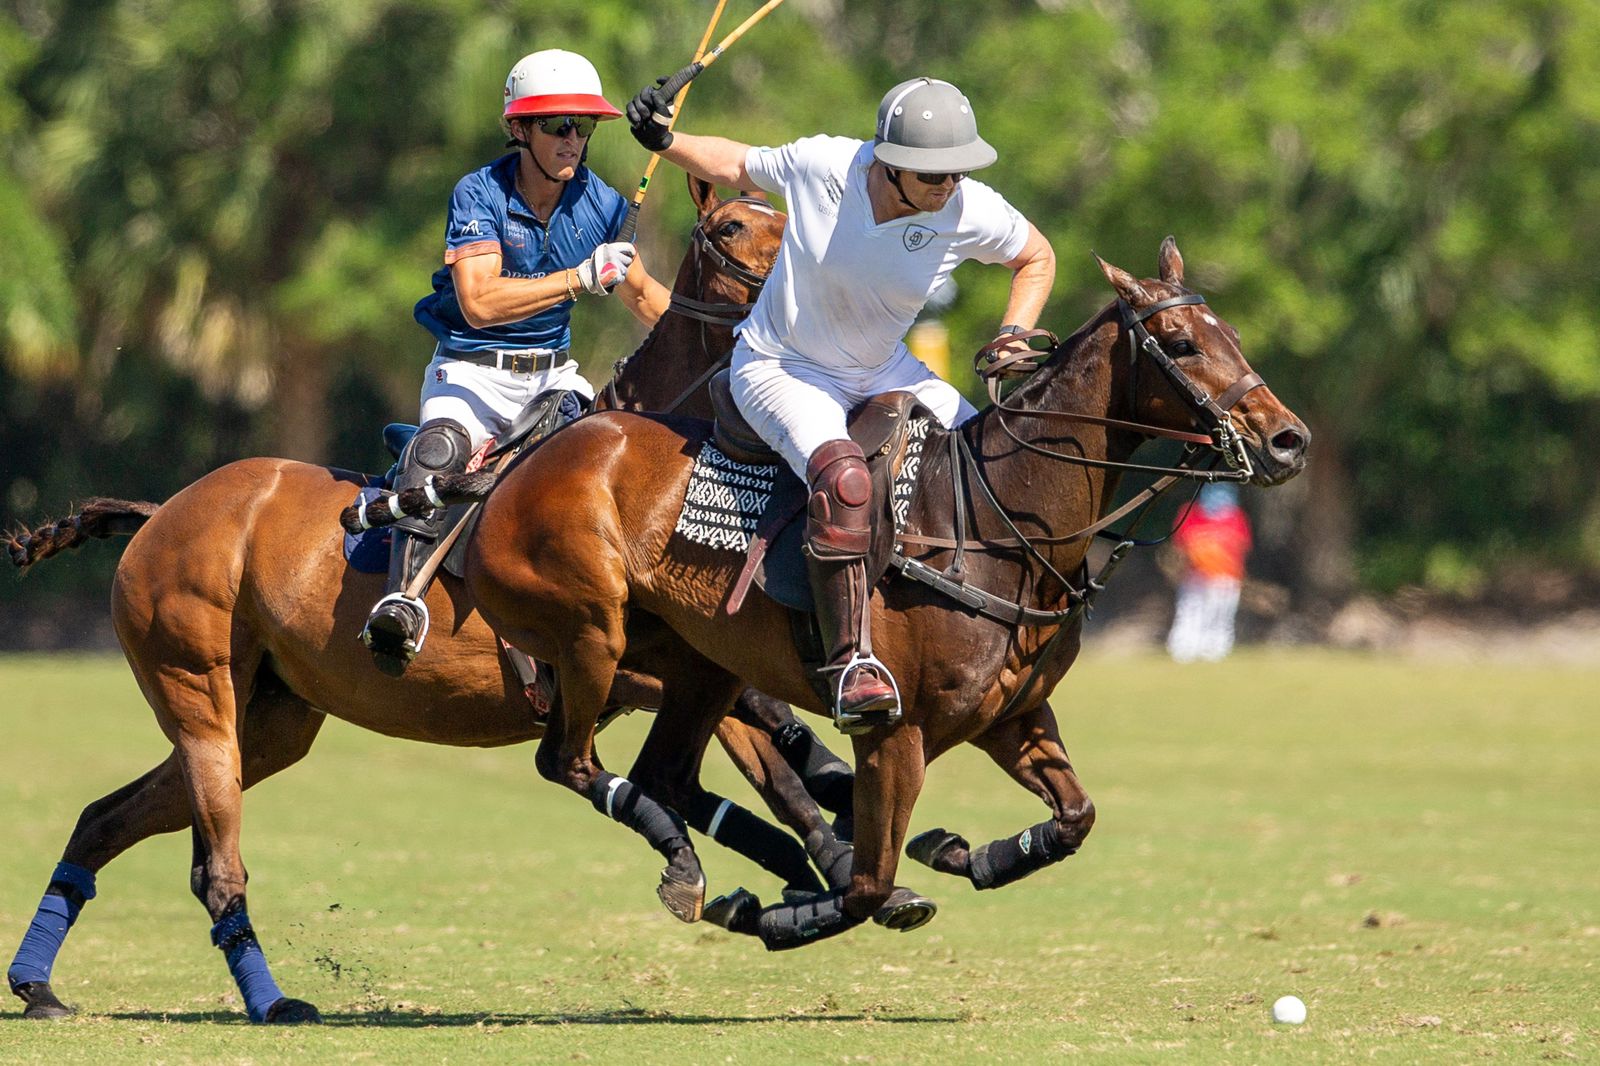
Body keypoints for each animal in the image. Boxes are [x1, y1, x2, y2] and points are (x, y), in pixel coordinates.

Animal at [3, 178, 851, 1017]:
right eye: (734, 225)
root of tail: (159, 513)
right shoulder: (613, 665)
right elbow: (747, 737)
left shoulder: (684, 663)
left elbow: (772, 759)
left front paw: (835, 850)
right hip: (199, 695)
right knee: (215, 869)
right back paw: (272, 1002)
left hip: (270, 722)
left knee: (104, 819)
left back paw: (38, 985)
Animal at [457, 238, 1305, 947]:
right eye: (1184, 343)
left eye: (1232, 333)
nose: (1288, 440)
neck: (997, 523)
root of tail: (511, 468)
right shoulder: (896, 736)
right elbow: (868, 884)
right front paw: (791, 914)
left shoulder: (1014, 715)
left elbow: (1075, 817)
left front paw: (968, 852)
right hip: (589, 635)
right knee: (568, 761)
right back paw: (703, 874)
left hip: (701, 667)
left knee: (660, 772)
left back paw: (699, 870)